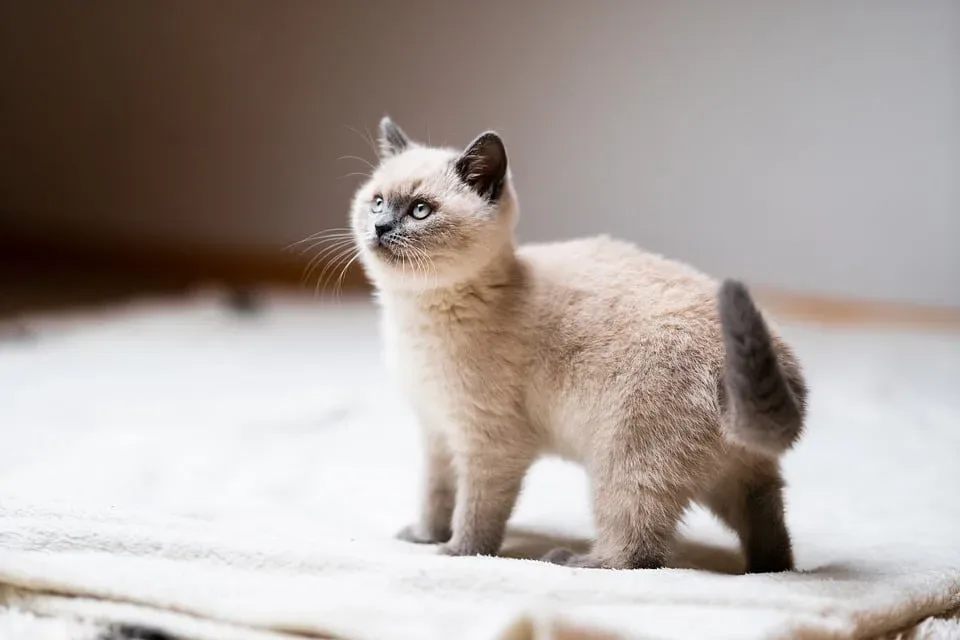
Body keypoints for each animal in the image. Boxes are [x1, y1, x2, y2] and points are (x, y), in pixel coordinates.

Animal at [348, 117, 808, 572]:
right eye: (377, 202)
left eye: (420, 210)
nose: (380, 228)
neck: (414, 315)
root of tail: (782, 360)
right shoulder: (437, 432)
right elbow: (436, 495)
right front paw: (425, 537)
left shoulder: (489, 443)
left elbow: (475, 512)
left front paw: (457, 553)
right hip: (735, 474)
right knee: (770, 529)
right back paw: (764, 571)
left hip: (621, 461)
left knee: (639, 551)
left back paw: (573, 561)